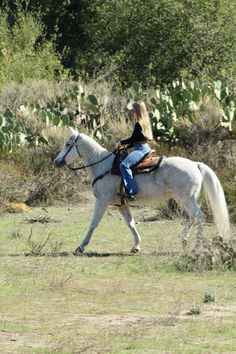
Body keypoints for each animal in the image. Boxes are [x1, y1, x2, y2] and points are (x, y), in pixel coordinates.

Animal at [54, 127, 230, 254]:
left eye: (68, 144)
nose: (56, 161)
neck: (103, 166)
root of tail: (195, 164)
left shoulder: (102, 200)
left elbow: (94, 223)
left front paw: (81, 247)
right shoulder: (121, 204)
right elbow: (131, 223)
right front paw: (136, 246)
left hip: (187, 199)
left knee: (199, 217)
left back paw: (196, 246)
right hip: (183, 200)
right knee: (192, 218)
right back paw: (184, 240)